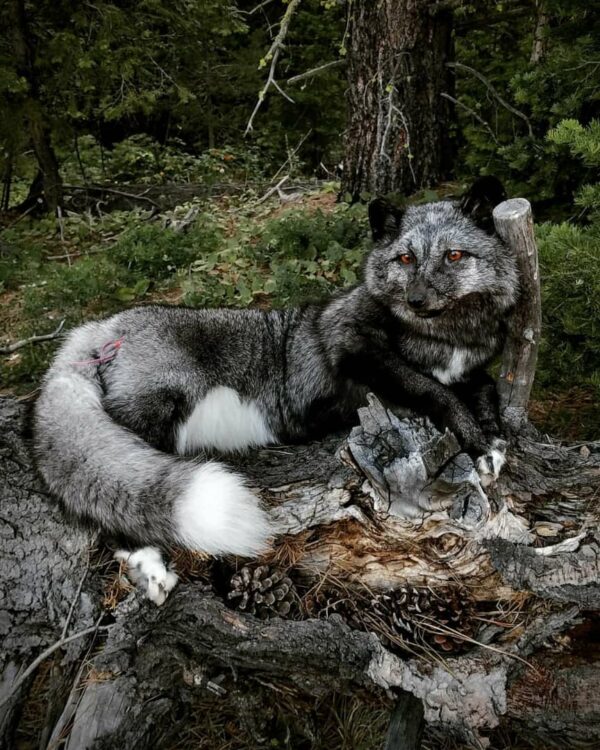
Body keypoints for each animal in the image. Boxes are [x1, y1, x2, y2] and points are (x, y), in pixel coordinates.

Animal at [33, 177, 518, 604]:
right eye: (404, 259)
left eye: (454, 255)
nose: (416, 300)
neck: (444, 338)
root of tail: (100, 327)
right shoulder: (353, 348)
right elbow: (436, 393)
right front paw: (476, 443)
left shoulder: (467, 370)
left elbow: (485, 388)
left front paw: (491, 439)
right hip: (154, 410)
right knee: (112, 505)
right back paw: (150, 565)